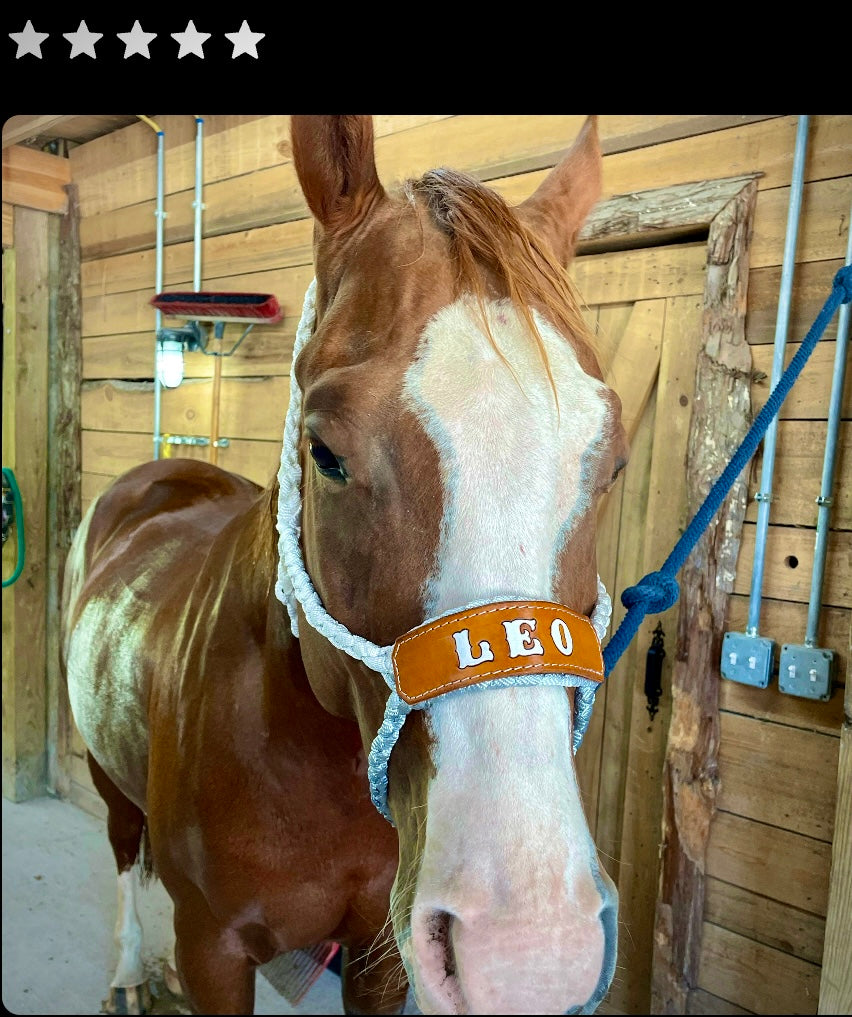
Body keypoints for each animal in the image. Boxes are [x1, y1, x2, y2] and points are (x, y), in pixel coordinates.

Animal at [61, 115, 626, 1012]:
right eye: (325, 453)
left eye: (611, 464)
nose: (530, 951)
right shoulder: (211, 948)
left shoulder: (380, 957)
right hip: (105, 770)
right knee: (121, 849)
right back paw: (126, 971)